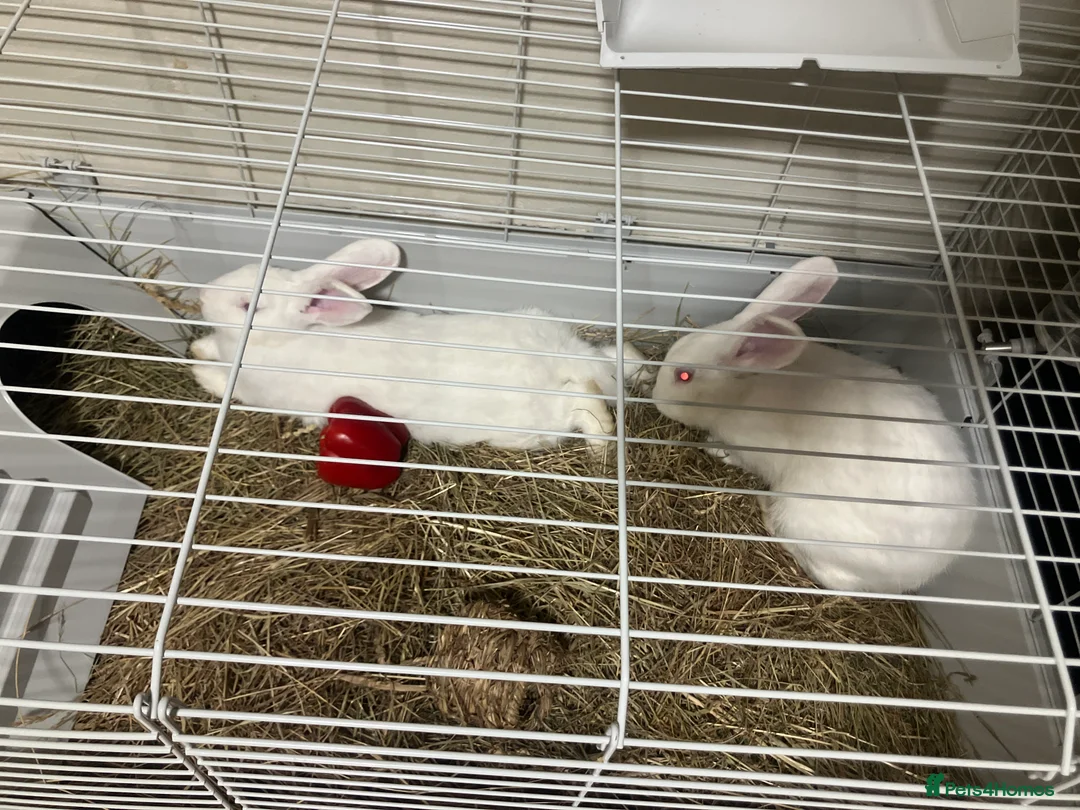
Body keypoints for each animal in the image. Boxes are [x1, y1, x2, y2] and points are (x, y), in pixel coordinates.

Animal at [190, 239, 652, 451]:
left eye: (249, 304)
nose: (203, 295)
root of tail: (564, 360)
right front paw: (199, 348)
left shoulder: (257, 392)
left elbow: (224, 384)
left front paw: (198, 370)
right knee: (617, 359)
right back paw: (643, 369)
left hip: (537, 421)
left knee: (587, 404)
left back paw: (600, 445)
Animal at [652, 256, 977, 594]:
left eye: (684, 376)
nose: (655, 399)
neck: (743, 391)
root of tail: (916, 576)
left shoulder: (755, 448)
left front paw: (714, 449)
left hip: (801, 518)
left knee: (829, 576)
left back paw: (766, 508)